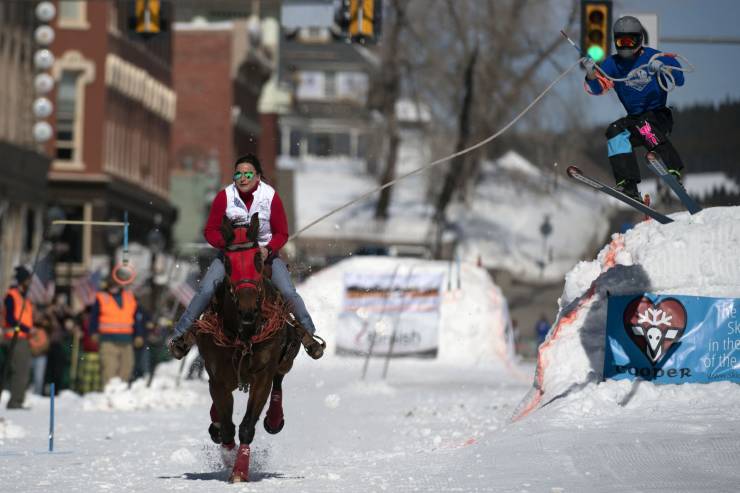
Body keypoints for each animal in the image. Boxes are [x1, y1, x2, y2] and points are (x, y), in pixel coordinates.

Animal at [197, 214, 304, 480]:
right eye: (227, 262)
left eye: (257, 258)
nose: (248, 310)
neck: (243, 331)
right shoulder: (218, 377)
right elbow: (226, 427)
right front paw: (228, 459)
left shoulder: (262, 376)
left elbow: (247, 426)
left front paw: (239, 471)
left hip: (286, 358)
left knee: (279, 379)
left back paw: (274, 419)